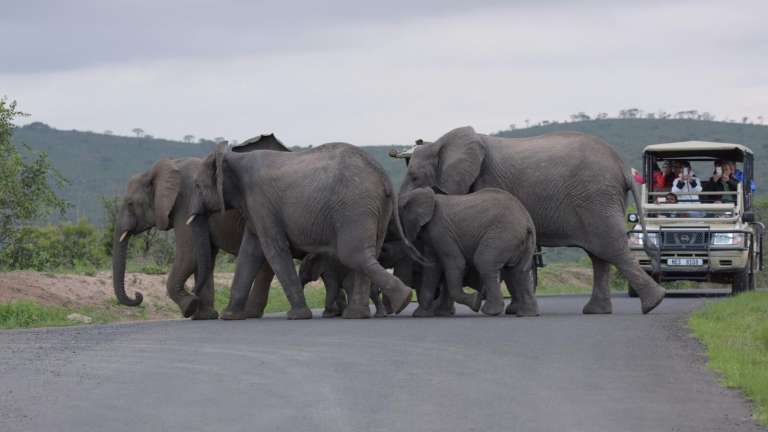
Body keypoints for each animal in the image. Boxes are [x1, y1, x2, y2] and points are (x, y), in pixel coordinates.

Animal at [112, 134, 287, 319]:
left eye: (130, 204)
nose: (138, 295)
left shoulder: (185, 203)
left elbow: (190, 254)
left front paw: (189, 307)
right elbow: (205, 256)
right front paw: (205, 316)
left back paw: (248, 313)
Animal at [187, 142, 425, 320]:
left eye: (198, 186)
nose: (192, 300)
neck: (233, 157)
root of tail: (383, 176)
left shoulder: (261, 202)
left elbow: (273, 249)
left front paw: (297, 316)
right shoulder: (254, 207)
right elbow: (250, 252)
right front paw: (229, 317)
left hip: (355, 206)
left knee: (353, 254)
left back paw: (401, 301)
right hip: (375, 208)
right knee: (367, 254)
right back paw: (362, 313)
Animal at [399, 187, 539, 317]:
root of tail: (527, 221)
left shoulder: (441, 231)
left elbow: (456, 263)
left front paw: (475, 302)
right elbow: (432, 269)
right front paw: (420, 314)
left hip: (503, 235)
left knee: (485, 262)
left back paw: (490, 311)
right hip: (520, 241)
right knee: (519, 271)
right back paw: (527, 313)